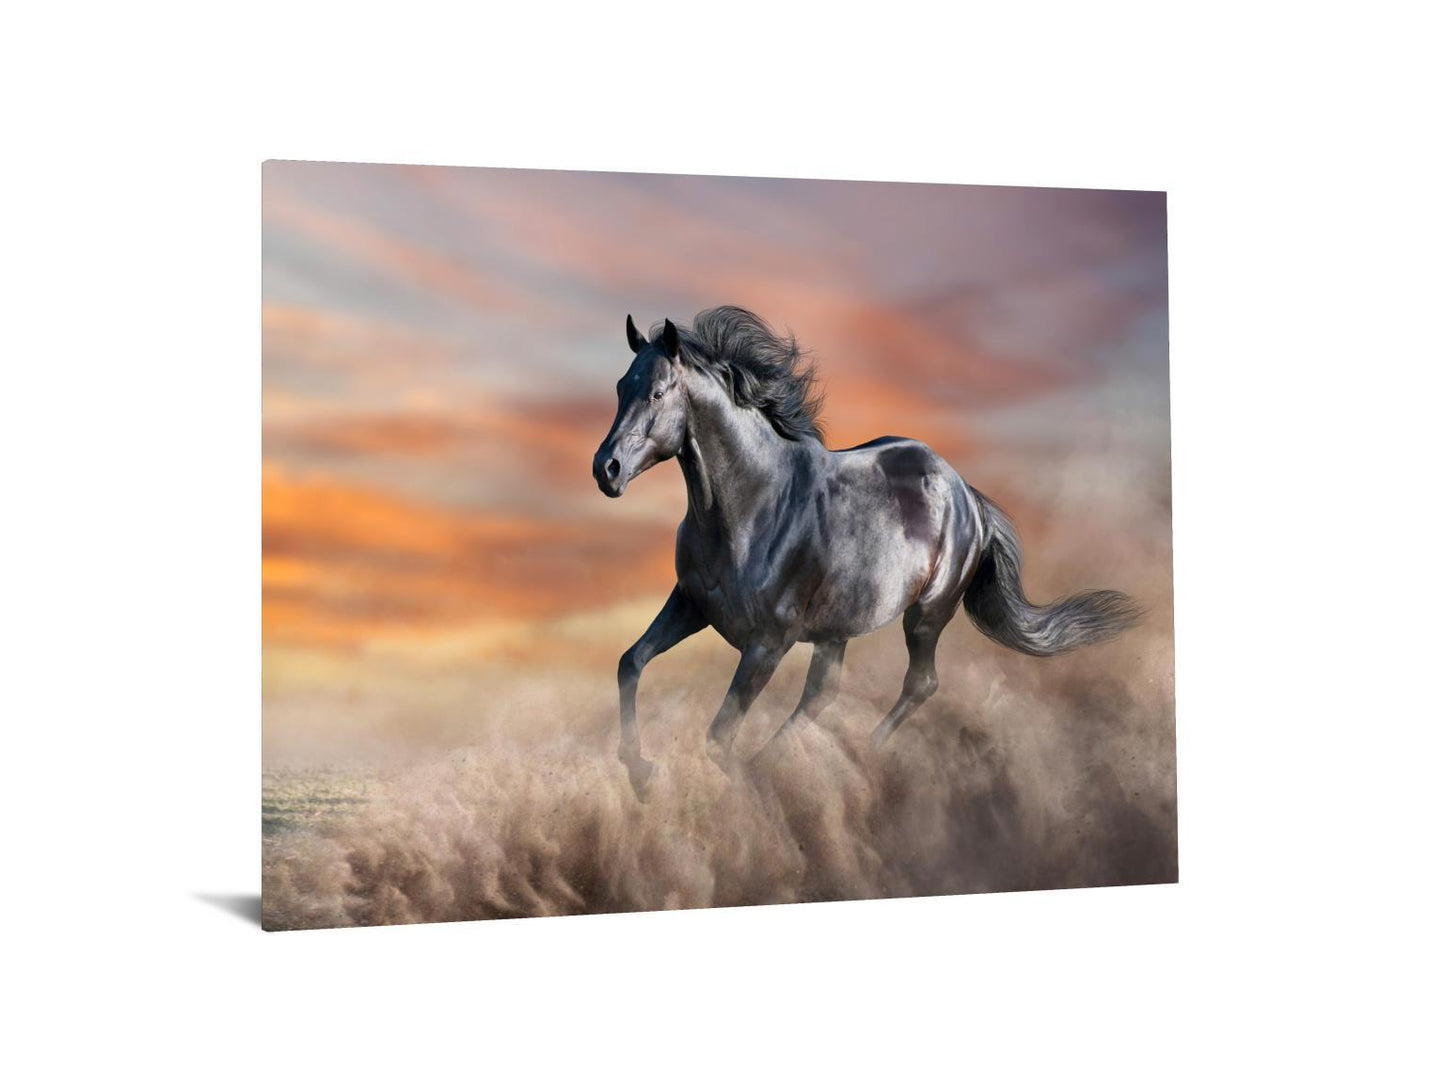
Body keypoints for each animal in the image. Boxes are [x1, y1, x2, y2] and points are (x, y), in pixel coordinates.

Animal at [592, 306, 1139, 798]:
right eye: (620, 387)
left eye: (657, 391)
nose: (606, 469)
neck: (752, 506)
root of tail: (967, 494)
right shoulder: (691, 604)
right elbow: (630, 663)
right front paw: (640, 774)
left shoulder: (767, 644)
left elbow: (719, 739)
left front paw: (743, 792)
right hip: (837, 628)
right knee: (822, 694)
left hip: (926, 615)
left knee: (920, 683)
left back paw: (863, 760)